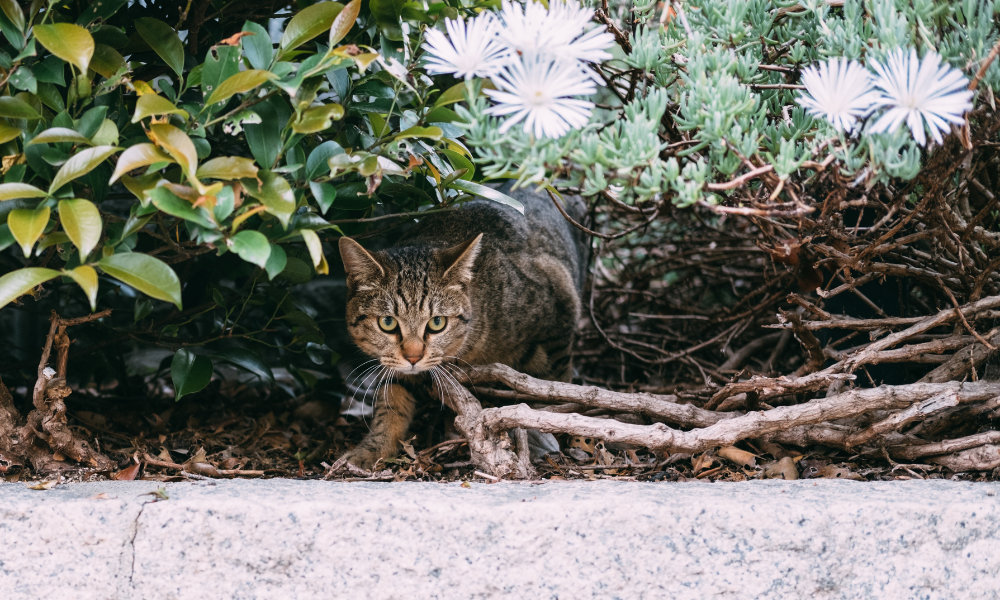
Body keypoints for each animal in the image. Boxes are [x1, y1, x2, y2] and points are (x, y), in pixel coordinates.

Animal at [338, 180, 584, 472]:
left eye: (437, 322)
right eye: (387, 323)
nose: (413, 357)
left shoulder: (560, 310)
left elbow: (556, 384)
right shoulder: (396, 368)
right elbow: (390, 406)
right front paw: (372, 448)